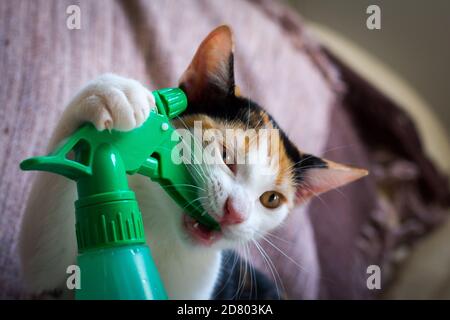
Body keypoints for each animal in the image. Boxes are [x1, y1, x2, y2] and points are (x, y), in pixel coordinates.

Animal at [18, 25, 370, 300]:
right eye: (225, 156)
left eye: (272, 199)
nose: (235, 213)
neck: (161, 231)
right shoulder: (47, 276)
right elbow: (40, 255)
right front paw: (112, 92)